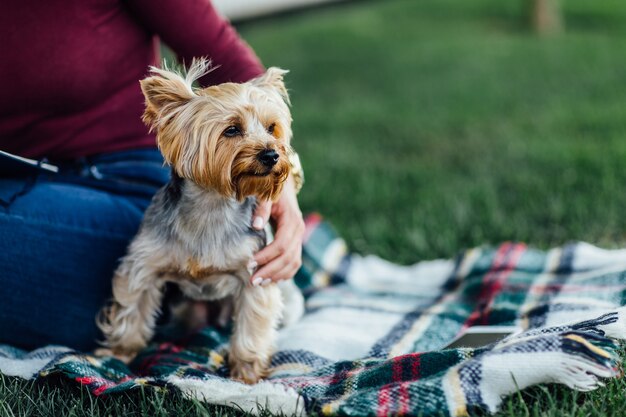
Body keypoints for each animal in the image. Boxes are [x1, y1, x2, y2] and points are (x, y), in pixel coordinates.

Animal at [96, 59, 304, 384]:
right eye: (232, 130)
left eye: (272, 128)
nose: (272, 154)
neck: (212, 204)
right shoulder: (143, 265)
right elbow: (132, 309)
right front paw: (119, 354)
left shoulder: (257, 274)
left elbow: (252, 326)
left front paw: (247, 374)